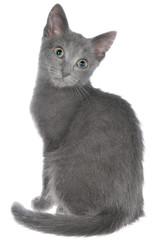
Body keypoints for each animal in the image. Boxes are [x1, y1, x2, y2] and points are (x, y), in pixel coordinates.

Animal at [11, 3, 144, 236]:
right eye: (59, 52)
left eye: (82, 63)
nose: (65, 72)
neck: (55, 92)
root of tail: (123, 210)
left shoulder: (53, 141)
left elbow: (45, 174)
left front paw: (43, 202)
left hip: (63, 165)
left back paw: (61, 213)